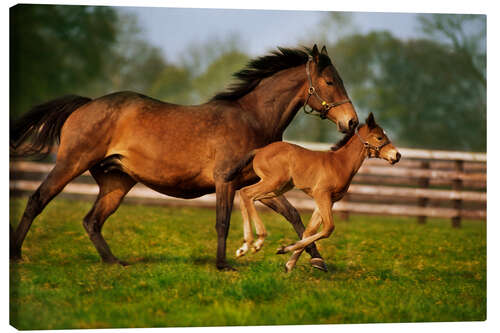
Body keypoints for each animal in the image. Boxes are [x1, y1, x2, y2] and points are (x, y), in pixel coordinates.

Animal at [225, 113, 400, 272]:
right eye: (379, 137)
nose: (397, 155)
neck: (340, 164)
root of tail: (260, 150)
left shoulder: (328, 200)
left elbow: (310, 231)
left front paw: (289, 264)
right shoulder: (322, 194)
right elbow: (328, 228)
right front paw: (284, 249)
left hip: (278, 188)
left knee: (248, 196)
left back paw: (245, 246)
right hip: (274, 182)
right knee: (247, 193)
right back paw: (256, 242)